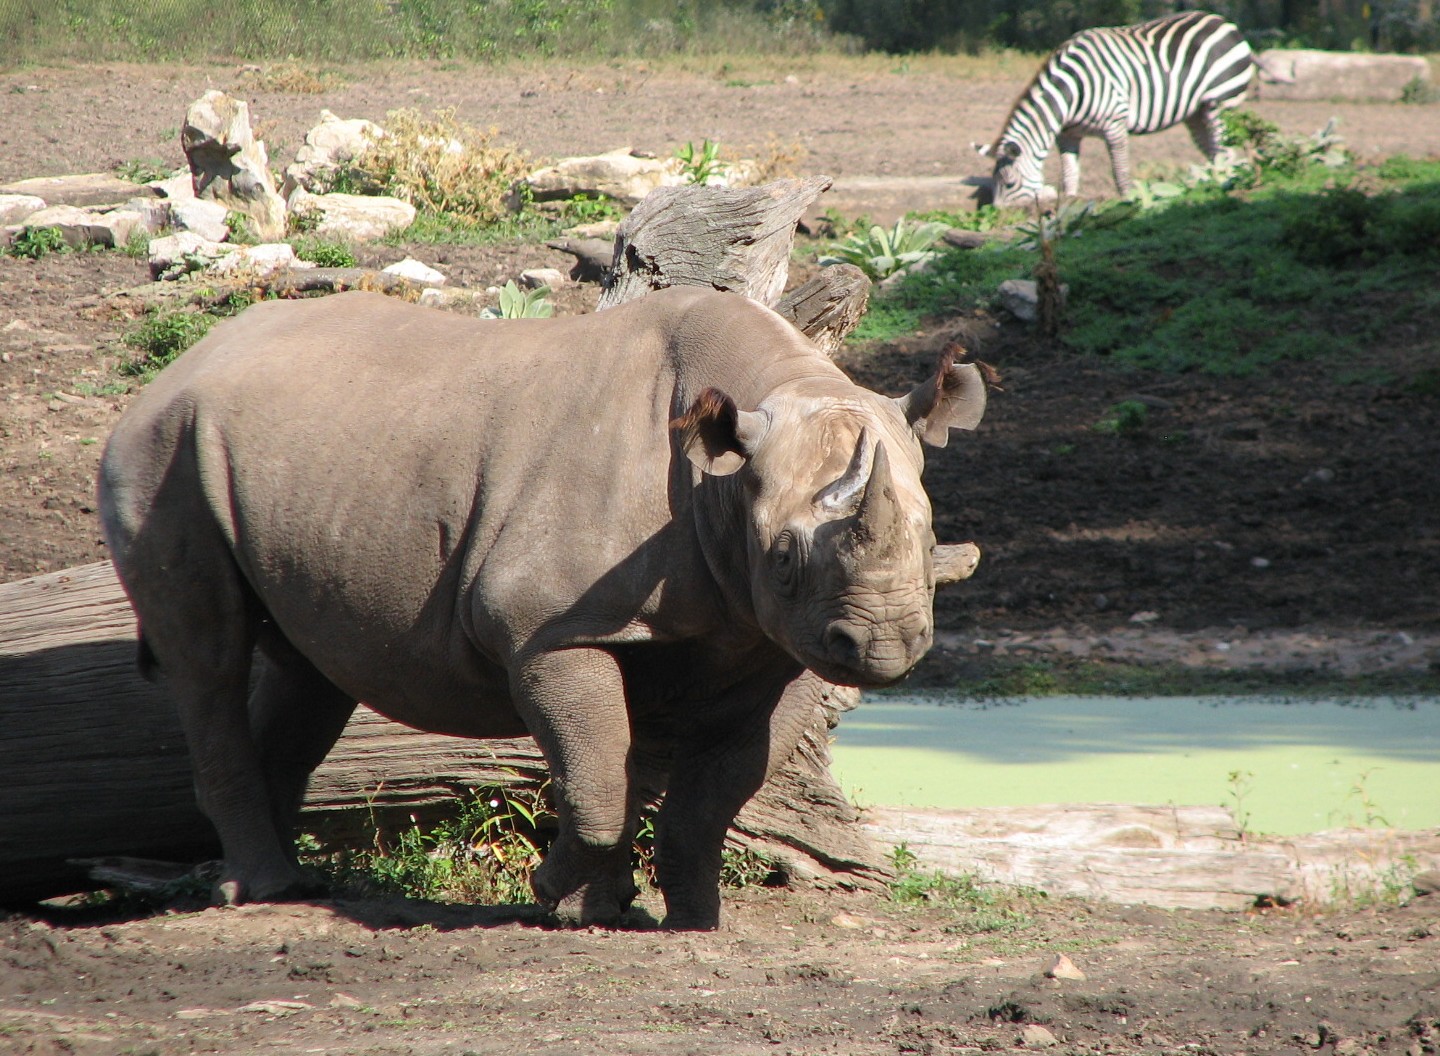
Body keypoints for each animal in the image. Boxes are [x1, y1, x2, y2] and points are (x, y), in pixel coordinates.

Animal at [98, 286, 986, 929]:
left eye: (929, 534)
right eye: (787, 556)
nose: (885, 648)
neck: (727, 483)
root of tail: (178, 365)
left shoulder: (772, 640)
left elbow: (712, 789)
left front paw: (689, 920)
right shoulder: (542, 626)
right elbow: (596, 770)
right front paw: (561, 897)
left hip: (282, 458)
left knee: (309, 669)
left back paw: (290, 885)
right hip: (159, 445)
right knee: (208, 658)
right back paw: (258, 889)